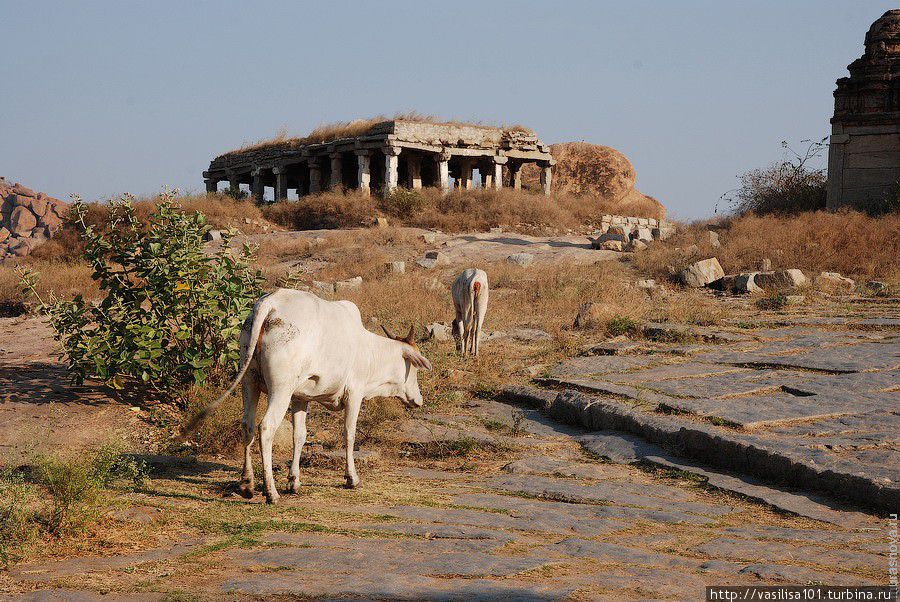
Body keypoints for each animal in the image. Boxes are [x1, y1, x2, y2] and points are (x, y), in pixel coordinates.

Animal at [187, 288, 432, 504]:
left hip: (249, 381)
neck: (368, 350)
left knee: (247, 425)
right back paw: (271, 492)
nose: (418, 399)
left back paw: (247, 484)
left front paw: (293, 481)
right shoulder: (354, 394)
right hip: (281, 388)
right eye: (415, 368)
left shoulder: (300, 398)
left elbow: (299, 436)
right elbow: (349, 434)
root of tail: (270, 303)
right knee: (265, 427)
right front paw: (351, 478)